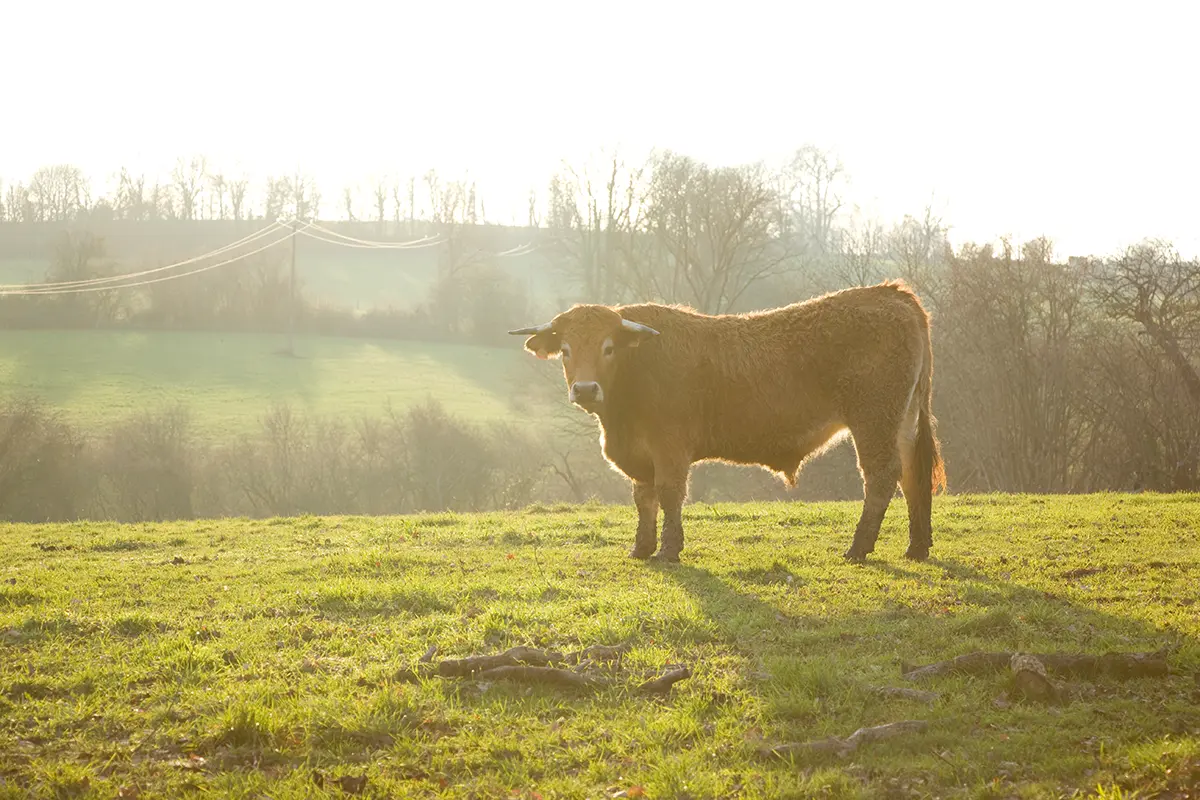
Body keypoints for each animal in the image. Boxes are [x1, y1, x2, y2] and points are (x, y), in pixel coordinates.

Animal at [508, 281, 946, 563]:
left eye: (608, 347)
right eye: (566, 350)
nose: (585, 389)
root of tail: (891, 292)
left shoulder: (670, 448)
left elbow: (669, 494)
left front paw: (669, 550)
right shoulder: (641, 456)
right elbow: (643, 499)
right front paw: (641, 548)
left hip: (873, 419)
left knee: (881, 477)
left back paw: (858, 549)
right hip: (902, 421)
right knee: (912, 475)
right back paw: (917, 547)